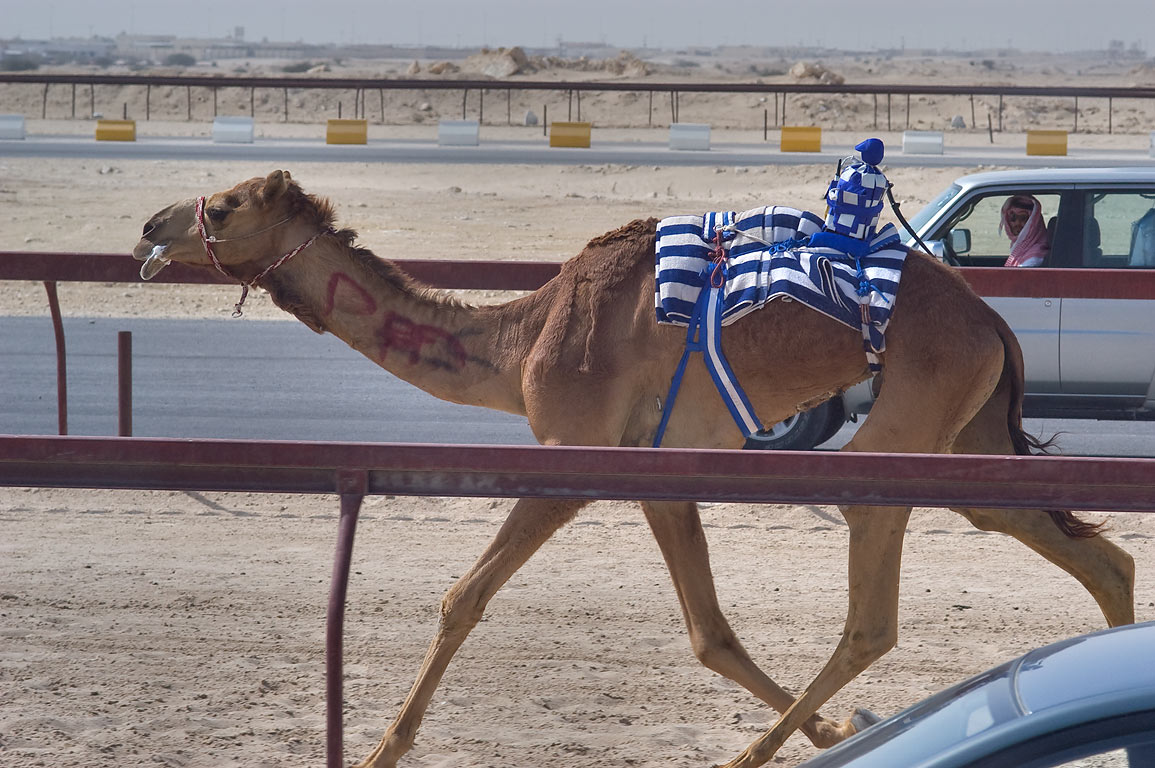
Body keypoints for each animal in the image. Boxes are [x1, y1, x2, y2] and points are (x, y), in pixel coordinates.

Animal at [132, 170, 1136, 768]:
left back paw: (750, 756)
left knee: (872, 620)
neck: (520, 343)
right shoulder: (660, 473)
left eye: (225, 206)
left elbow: (462, 597)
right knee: (1097, 556)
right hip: (967, 439)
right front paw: (834, 727)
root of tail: (991, 318)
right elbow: (709, 635)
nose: (149, 225)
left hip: (904, 427)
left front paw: (382, 749)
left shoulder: (573, 459)